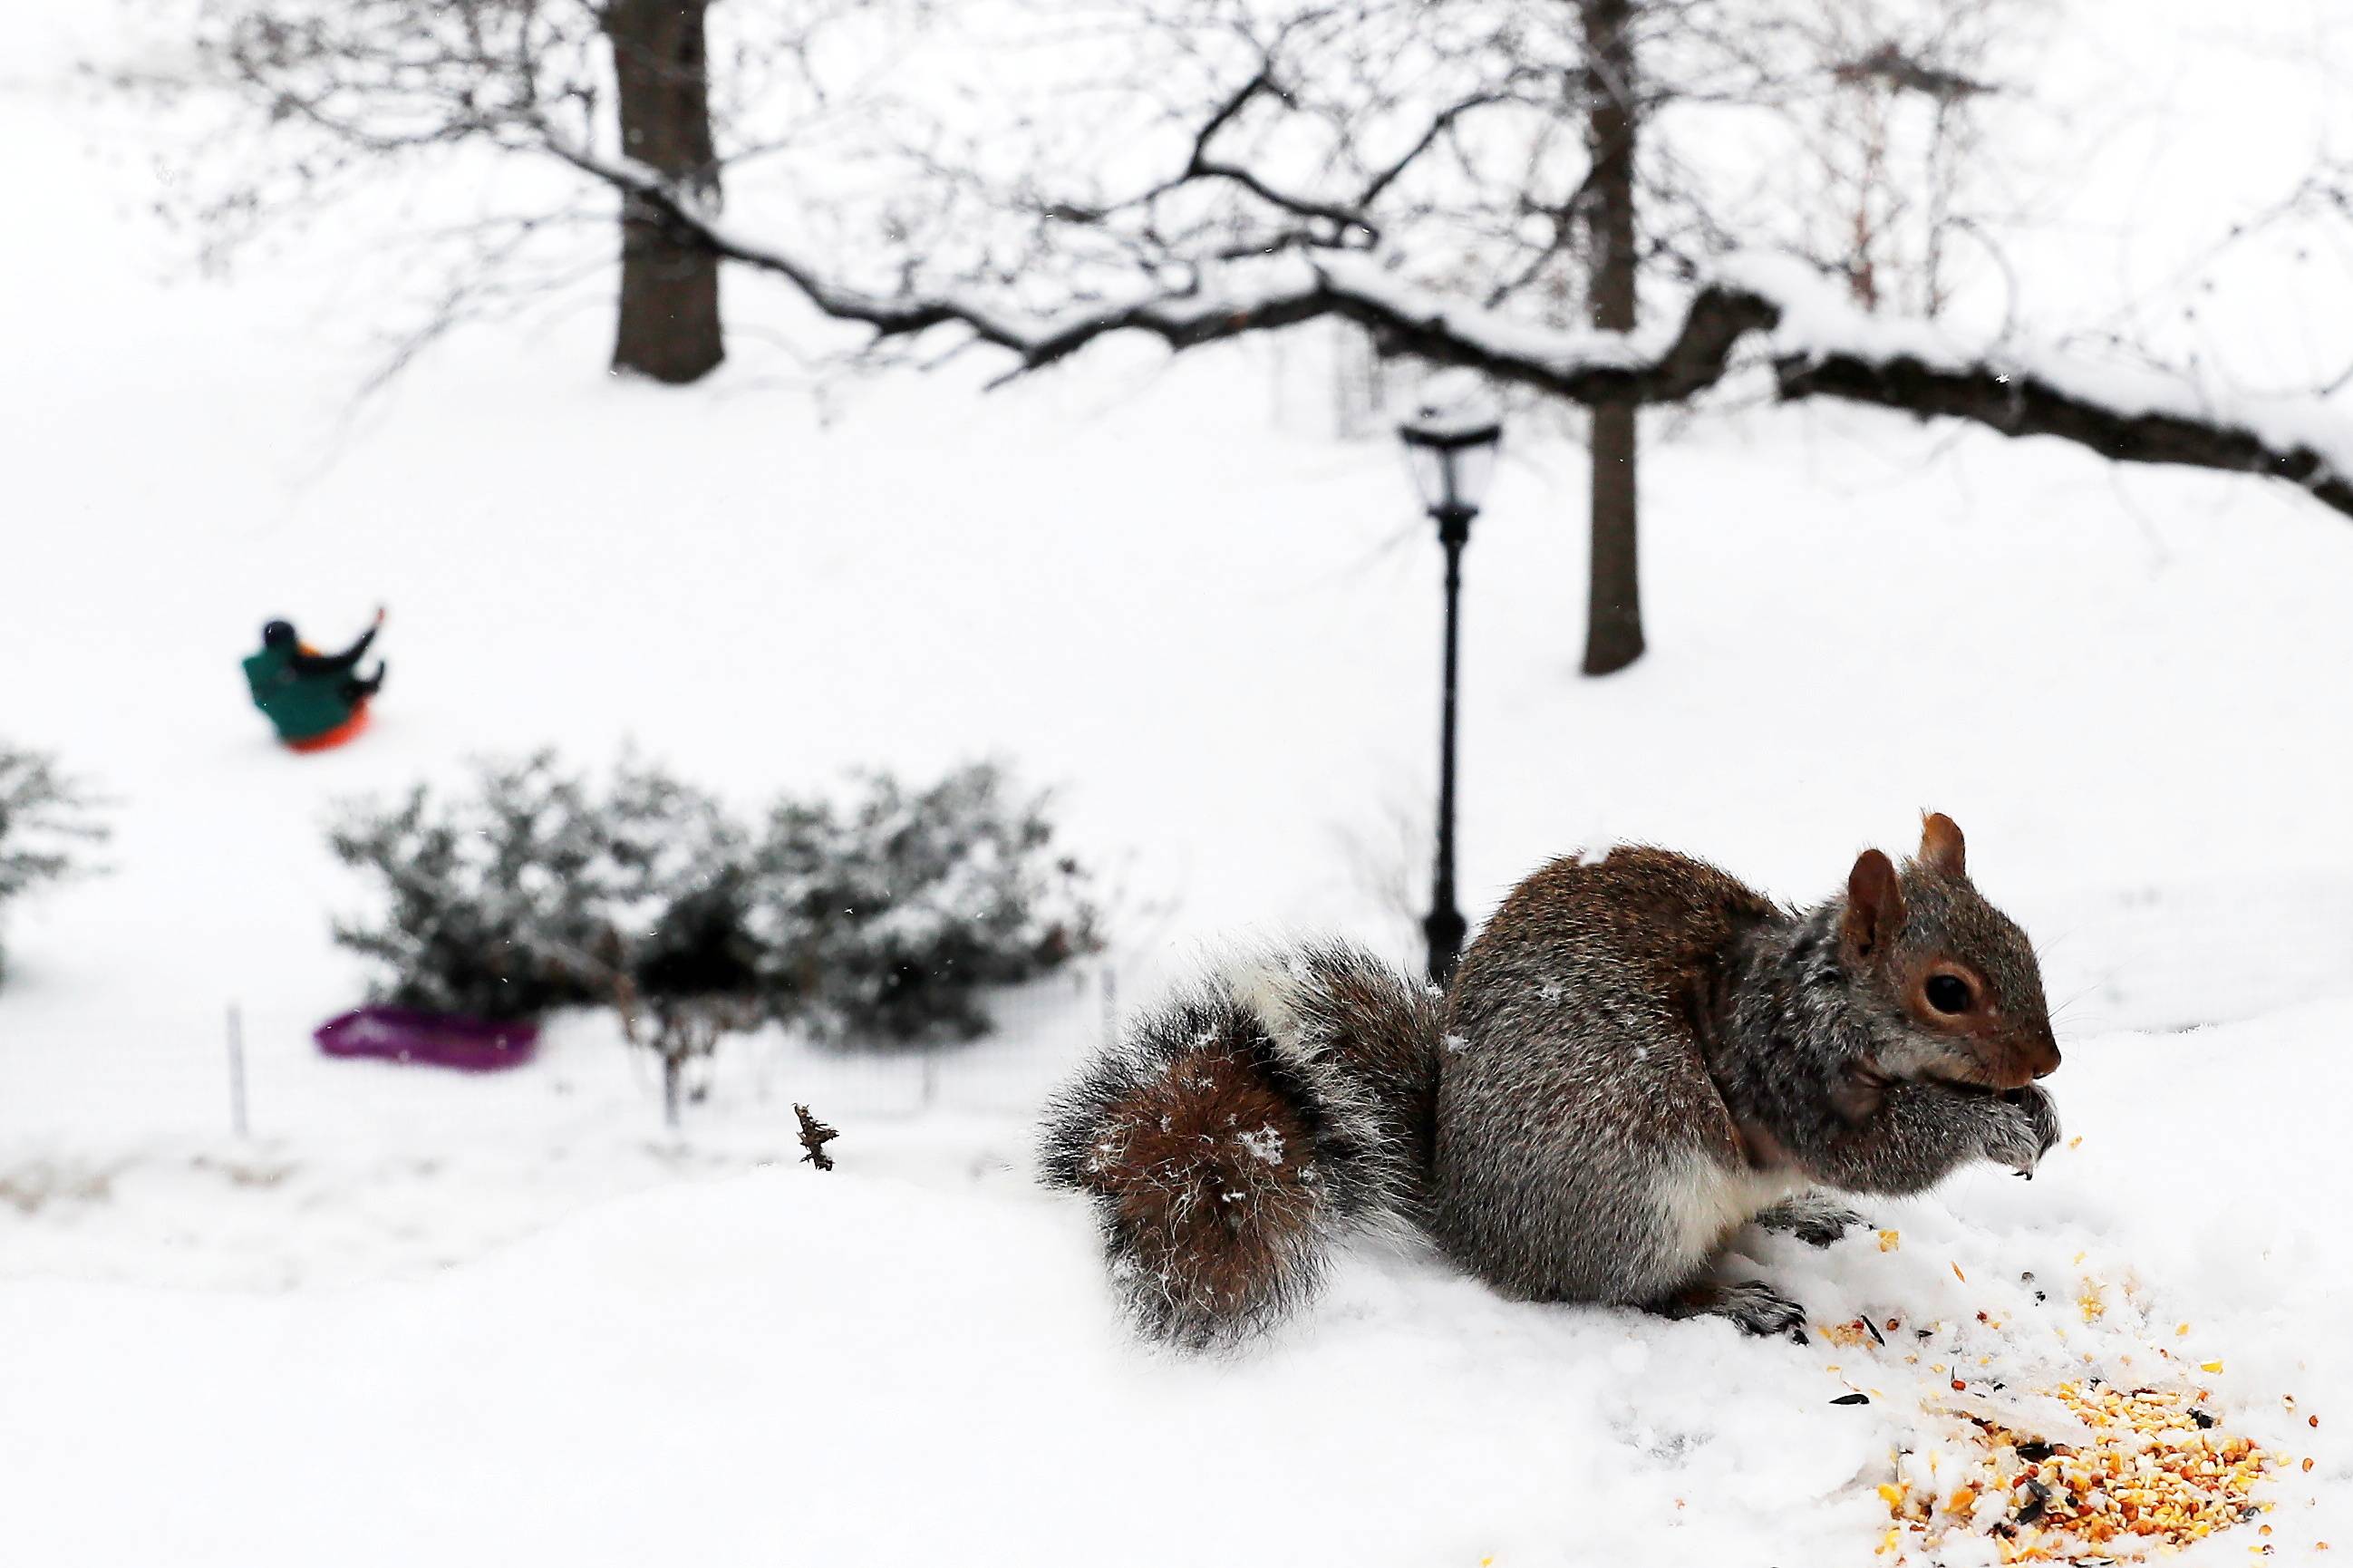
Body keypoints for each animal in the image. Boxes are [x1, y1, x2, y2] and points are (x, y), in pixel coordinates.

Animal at [1040, 805, 2051, 1346]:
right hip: (1636, 1190)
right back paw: (1729, 1298)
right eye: (1947, 991)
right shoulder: (1789, 1074)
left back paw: (1799, 1214)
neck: (1821, 994)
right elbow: (1885, 1151)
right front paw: (1996, 1124)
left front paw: (2036, 1108)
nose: (2046, 1059)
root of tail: (1464, 1216)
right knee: (1632, 1291)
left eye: (2022, 939)